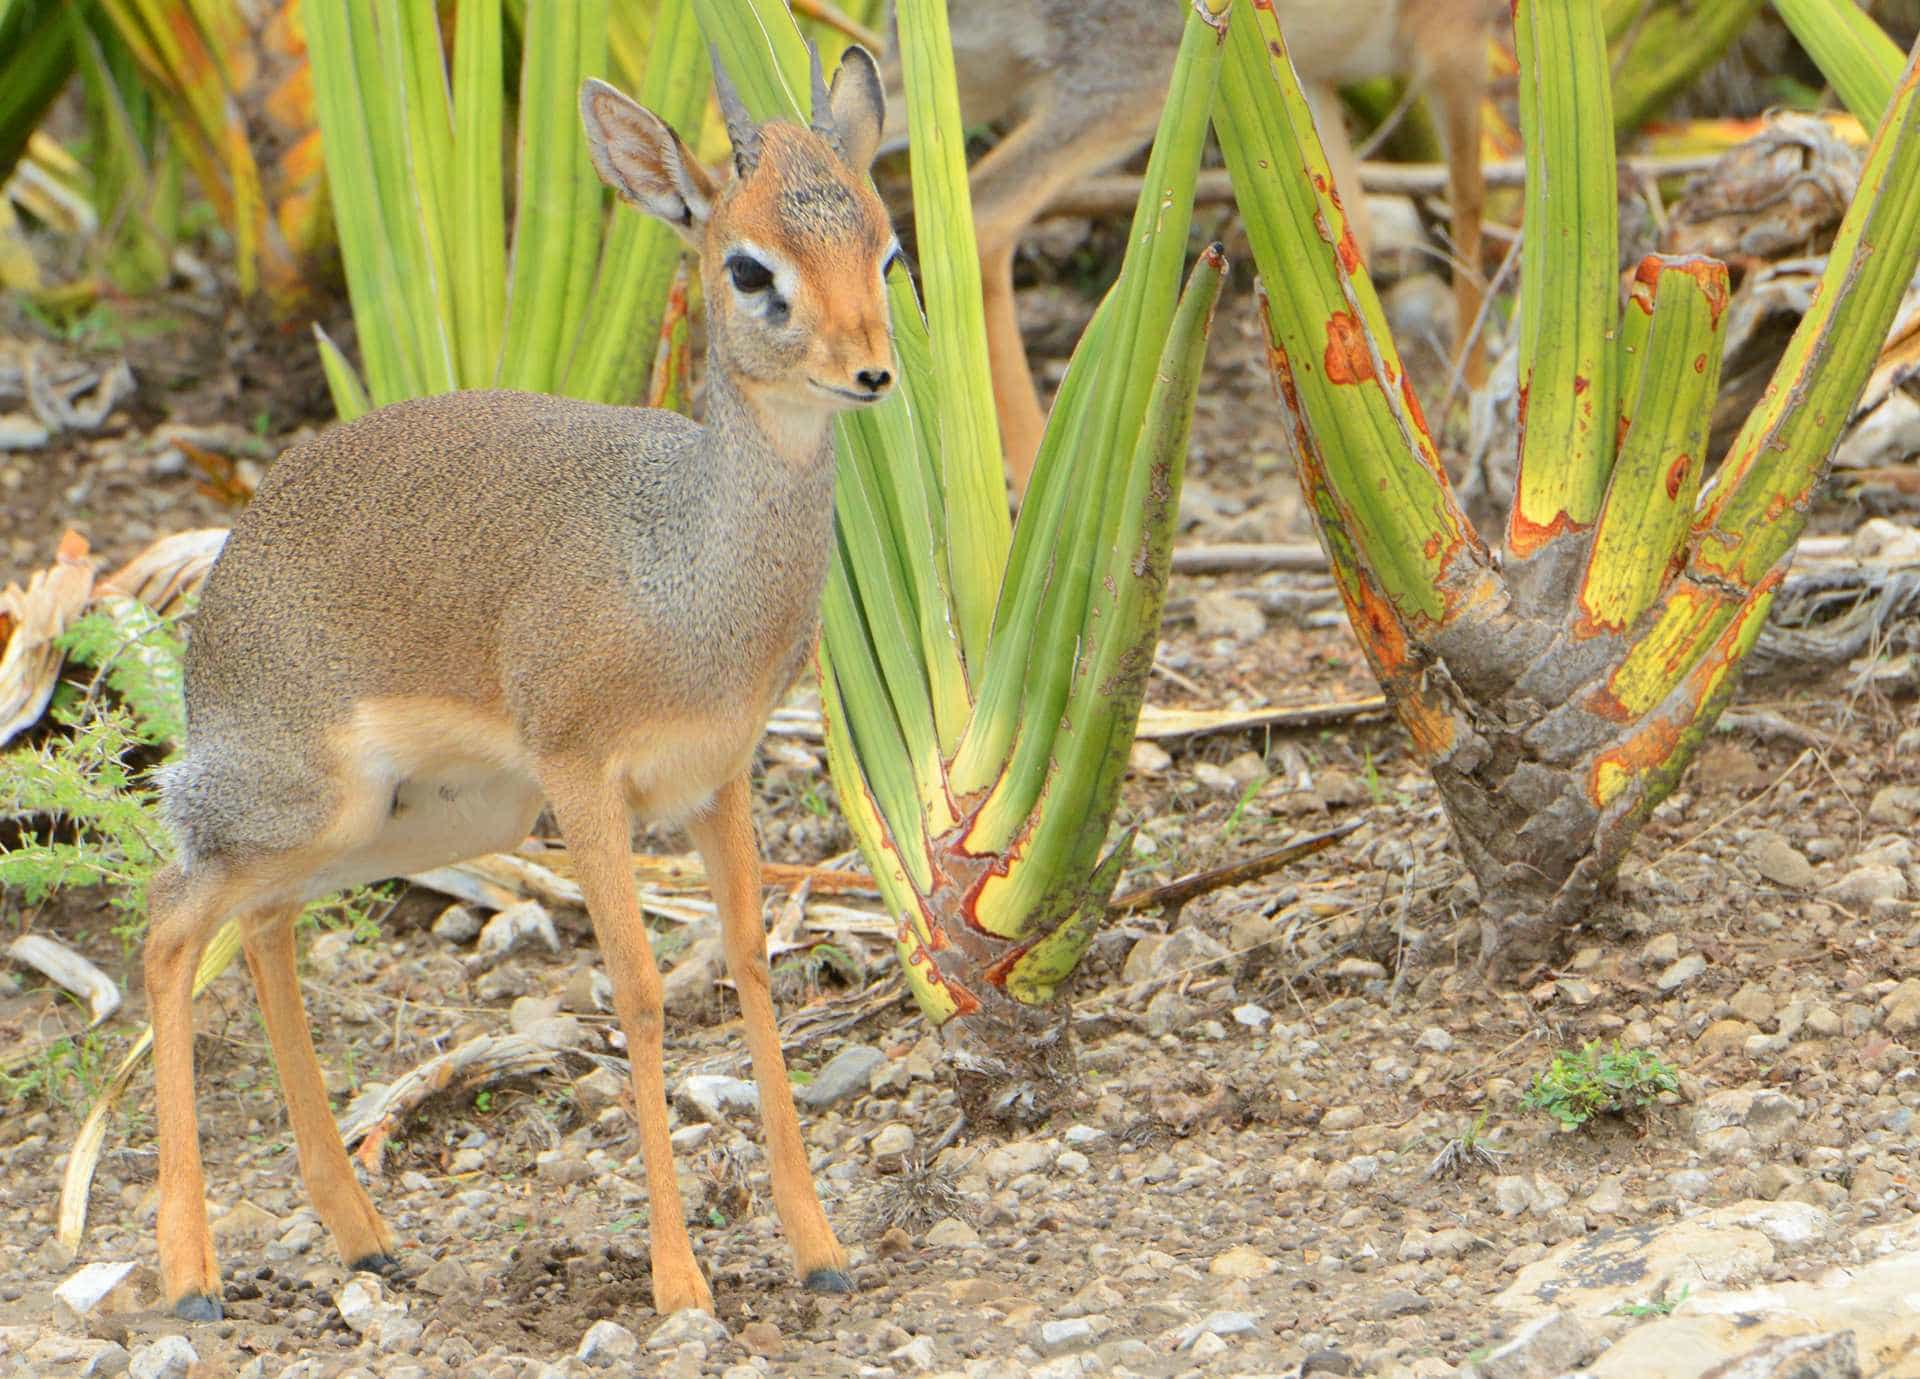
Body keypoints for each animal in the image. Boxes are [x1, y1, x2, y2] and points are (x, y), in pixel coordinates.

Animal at [149, 45, 898, 1329]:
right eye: (751, 268)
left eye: (887, 245)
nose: (873, 372)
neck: (684, 568)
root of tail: (228, 579)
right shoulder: (587, 781)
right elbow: (639, 989)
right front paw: (679, 1278)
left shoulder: (717, 781)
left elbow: (751, 960)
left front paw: (820, 1244)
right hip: (317, 804)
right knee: (165, 920)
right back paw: (191, 1277)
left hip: (432, 820)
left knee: (259, 923)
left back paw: (363, 1235)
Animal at [883, 0, 1497, 495]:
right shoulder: (1453, 42)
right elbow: (1469, 210)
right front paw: (1469, 403)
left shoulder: (1309, 80)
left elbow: (1348, 237)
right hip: (1123, 88)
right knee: (989, 214)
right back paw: (1034, 468)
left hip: (955, 81)